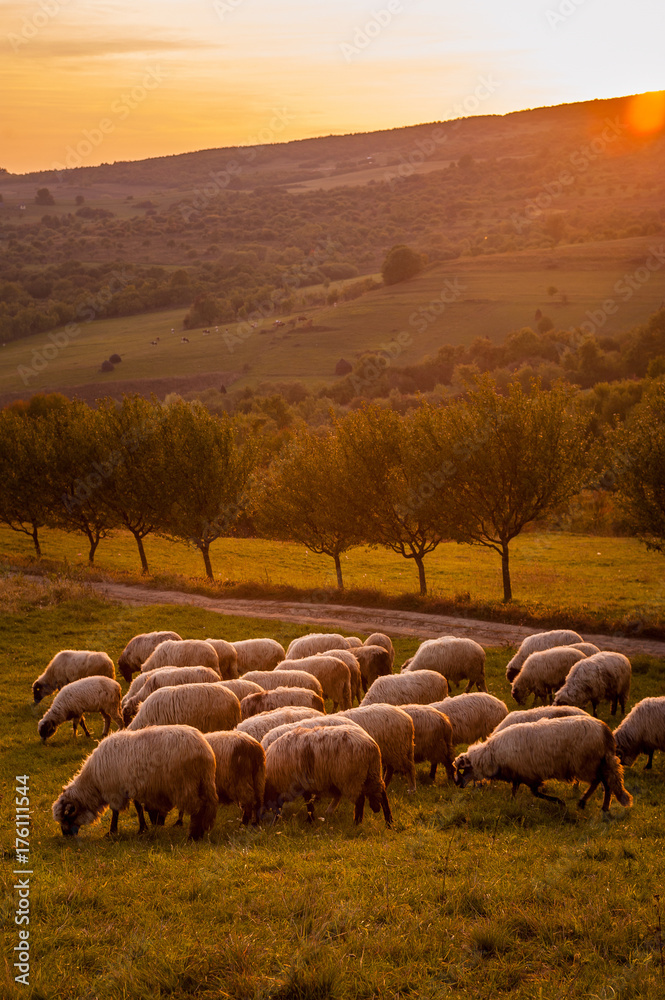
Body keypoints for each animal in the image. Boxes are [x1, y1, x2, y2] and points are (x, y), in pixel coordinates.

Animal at [52, 725, 218, 839]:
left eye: (66, 817)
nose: (66, 835)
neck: (93, 783)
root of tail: (205, 750)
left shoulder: (115, 791)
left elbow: (115, 812)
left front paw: (112, 831)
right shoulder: (131, 787)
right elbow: (138, 808)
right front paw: (142, 828)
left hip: (185, 784)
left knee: (198, 808)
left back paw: (193, 835)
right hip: (202, 783)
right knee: (206, 806)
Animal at [263, 725, 392, 827]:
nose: (270, 823)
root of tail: (370, 745)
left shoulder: (299, 782)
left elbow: (307, 802)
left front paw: (309, 820)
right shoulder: (303, 783)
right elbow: (308, 801)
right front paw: (310, 819)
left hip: (352, 778)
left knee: (360, 800)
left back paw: (357, 823)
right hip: (372, 773)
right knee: (383, 794)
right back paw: (389, 822)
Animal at [453, 716, 633, 812]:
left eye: (464, 769)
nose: (459, 785)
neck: (491, 755)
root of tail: (605, 731)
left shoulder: (529, 775)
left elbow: (535, 793)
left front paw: (559, 802)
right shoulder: (518, 774)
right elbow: (515, 790)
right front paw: (511, 803)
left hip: (587, 763)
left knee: (601, 782)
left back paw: (590, 803)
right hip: (596, 763)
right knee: (605, 782)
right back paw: (600, 806)